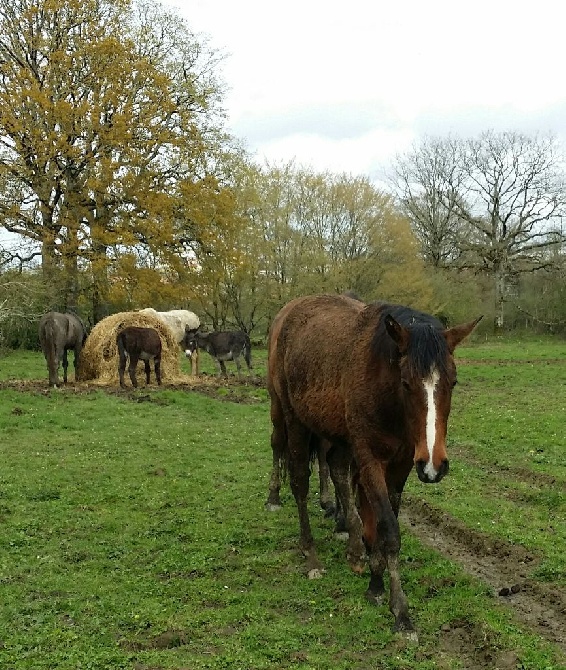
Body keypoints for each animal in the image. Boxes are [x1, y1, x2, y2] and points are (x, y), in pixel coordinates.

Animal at [268, 296, 482, 636]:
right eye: (406, 383)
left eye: (454, 382)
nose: (434, 465)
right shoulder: (370, 460)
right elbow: (389, 531)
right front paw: (401, 612)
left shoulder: (400, 465)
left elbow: (381, 521)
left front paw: (375, 582)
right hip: (291, 418)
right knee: (299, 479)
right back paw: (310, 554)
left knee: (336, 471)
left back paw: (352, 545)